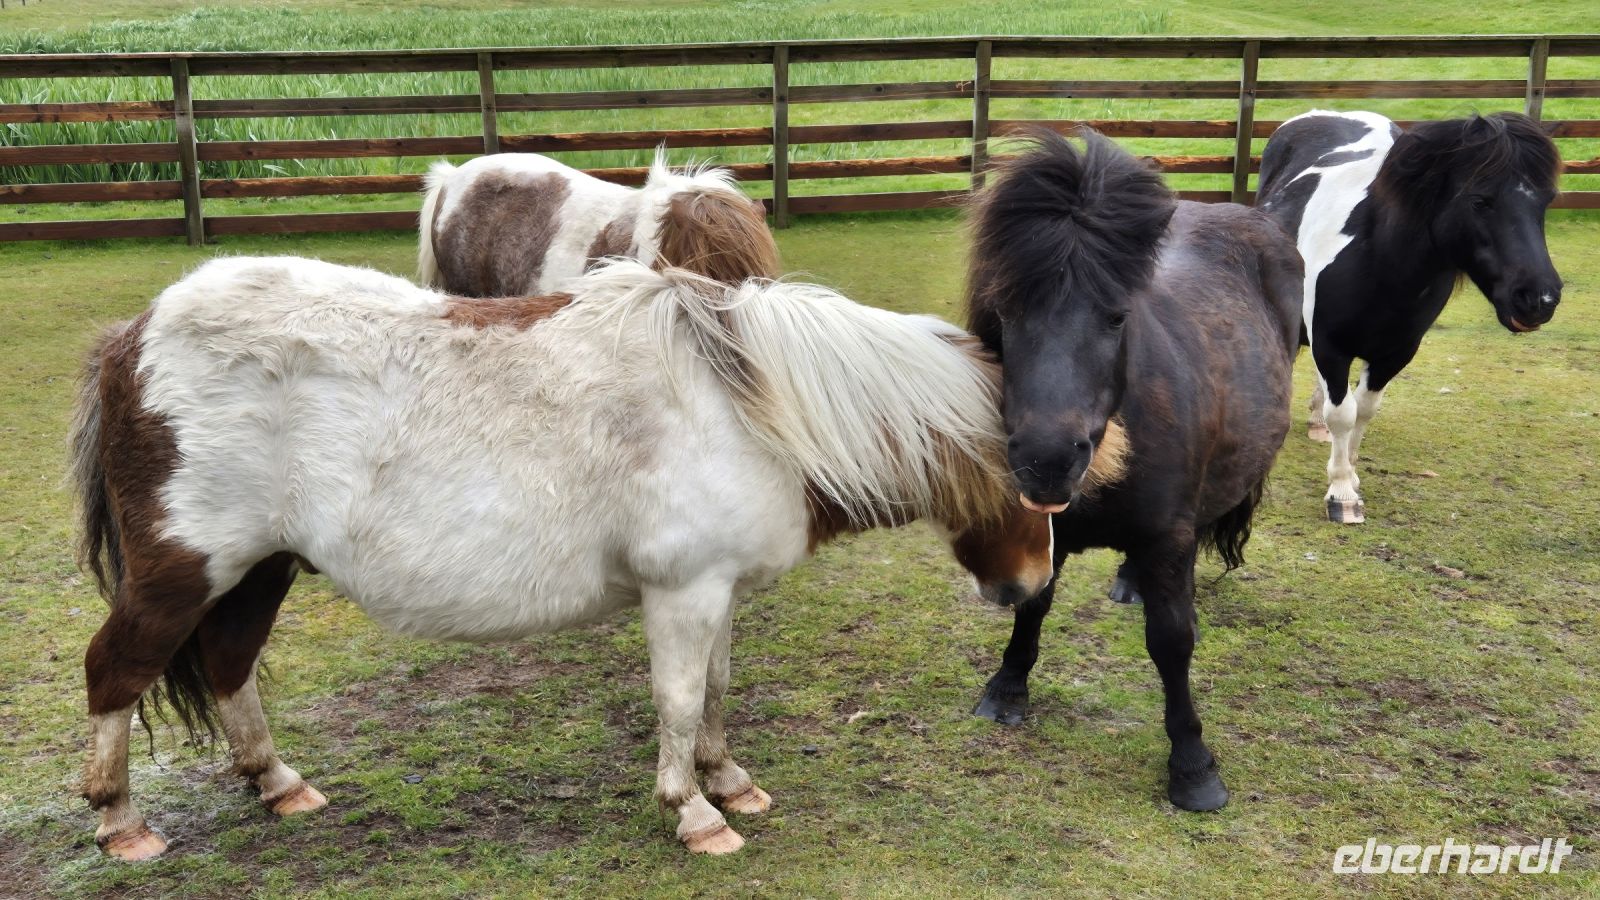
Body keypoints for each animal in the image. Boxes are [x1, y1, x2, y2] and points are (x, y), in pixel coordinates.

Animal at [69, 255, 1075, 860]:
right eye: (1031, 469)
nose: (1030, 587)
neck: (750, 408)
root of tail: (135, 336)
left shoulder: (719, 591)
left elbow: (715, 692)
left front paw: (730, 782)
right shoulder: (682, 591)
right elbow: (678, 700)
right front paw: (694, 814)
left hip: (259, 570)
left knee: (230, 665)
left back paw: (279, 786)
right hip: (182, 573)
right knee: (115, 669)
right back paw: (122, 822)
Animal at [964, 129, 1303, 811]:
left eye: (1117, 316)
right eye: (1004, 313)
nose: (1046, 460)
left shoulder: (1168, 537)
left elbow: (1171, 642)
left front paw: (1193, 766)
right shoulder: (1051, 532)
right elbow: (1034, 604)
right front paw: (1008, 688)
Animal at [1255, 111, 1563, 523]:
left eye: (1546, 200)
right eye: (1480, 200)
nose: (1539, 299)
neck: (1378, 258)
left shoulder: (1396, 352)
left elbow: (1364, 410)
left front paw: (1351, 474)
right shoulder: (1330, 346)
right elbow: (1344, 413)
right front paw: (1341, 494)